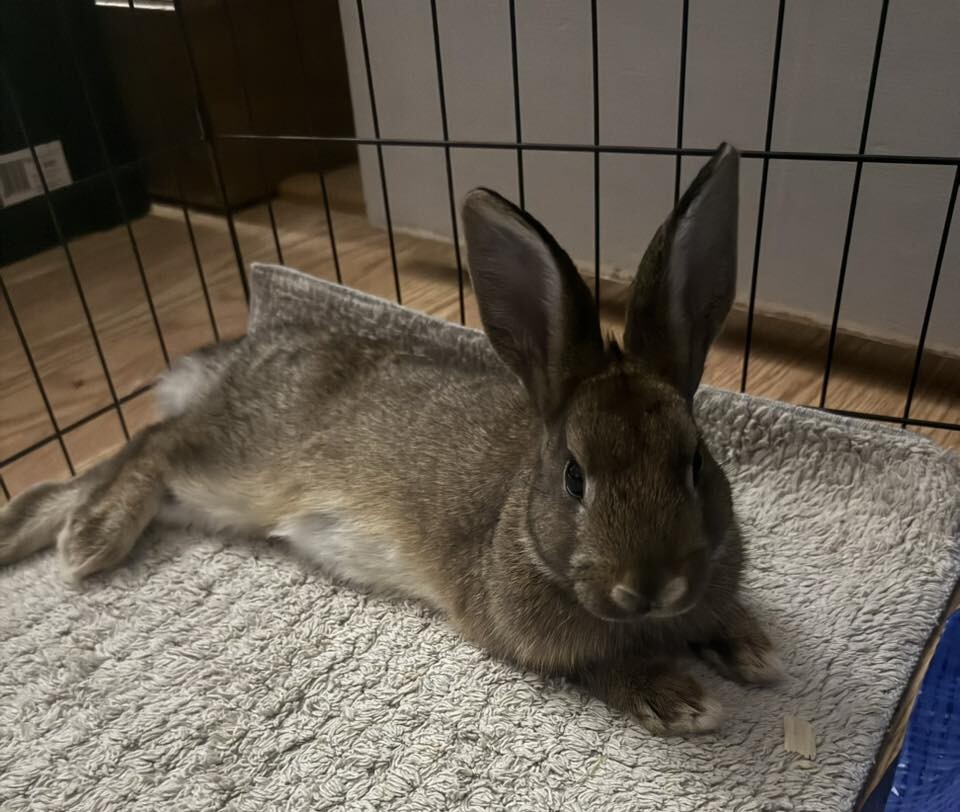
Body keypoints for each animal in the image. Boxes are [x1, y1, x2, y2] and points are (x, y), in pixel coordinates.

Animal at [0, 143, 781, 736]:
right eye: (574, 477)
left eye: (696, 463)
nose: (649, 586)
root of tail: (244, 356)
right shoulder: (522, 632)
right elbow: (603, 664)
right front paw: (681, 698)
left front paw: (752, 649)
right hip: (237, 470)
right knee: (155, 441)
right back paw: (84, 537)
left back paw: (24, 525)